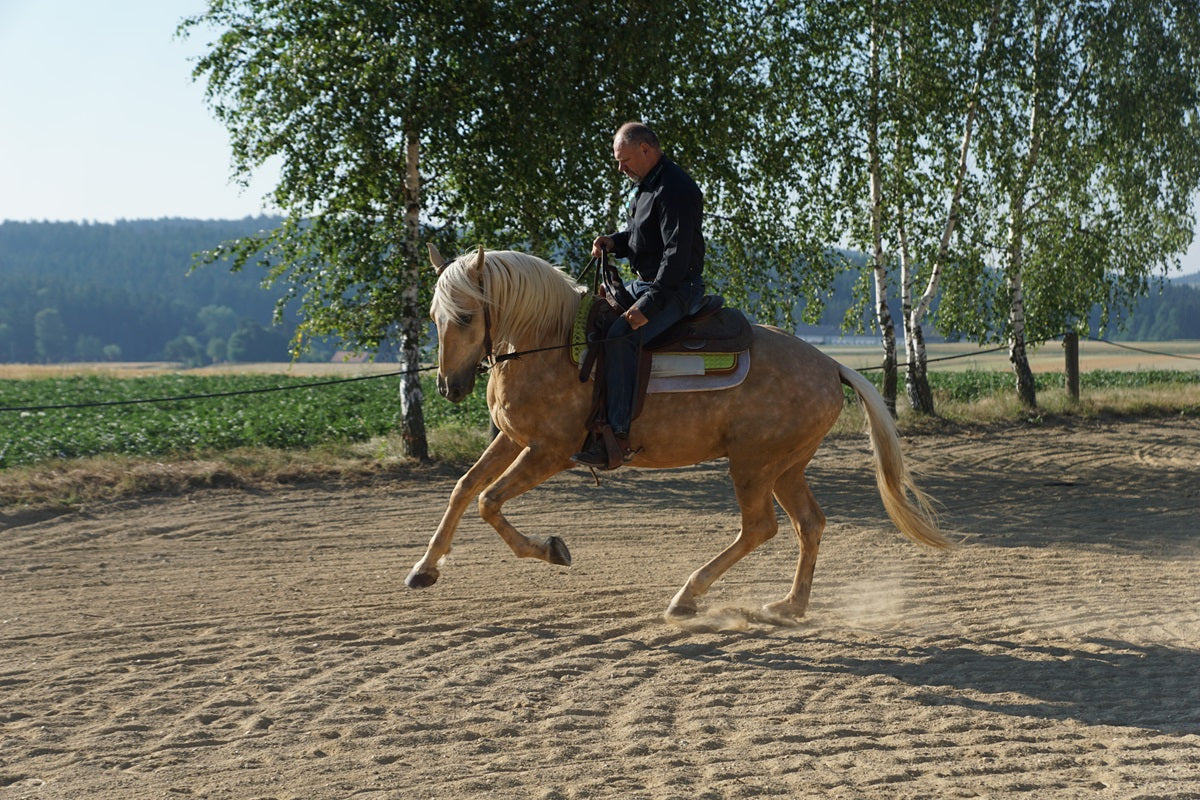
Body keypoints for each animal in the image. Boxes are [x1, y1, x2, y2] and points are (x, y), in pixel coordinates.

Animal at [407, 245, 952, 621]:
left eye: (467, 315)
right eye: (434, 317)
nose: (449, 386)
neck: (553, 344)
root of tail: (832, 365)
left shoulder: (550, 452)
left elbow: (489, 501)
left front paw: (551, 550)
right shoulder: (512, 439)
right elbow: (463, 490)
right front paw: (425, 569)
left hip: (753, 464)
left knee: (761, 527)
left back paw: (687, 597)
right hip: (785, 467)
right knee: (809, 524)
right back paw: (789, 606)